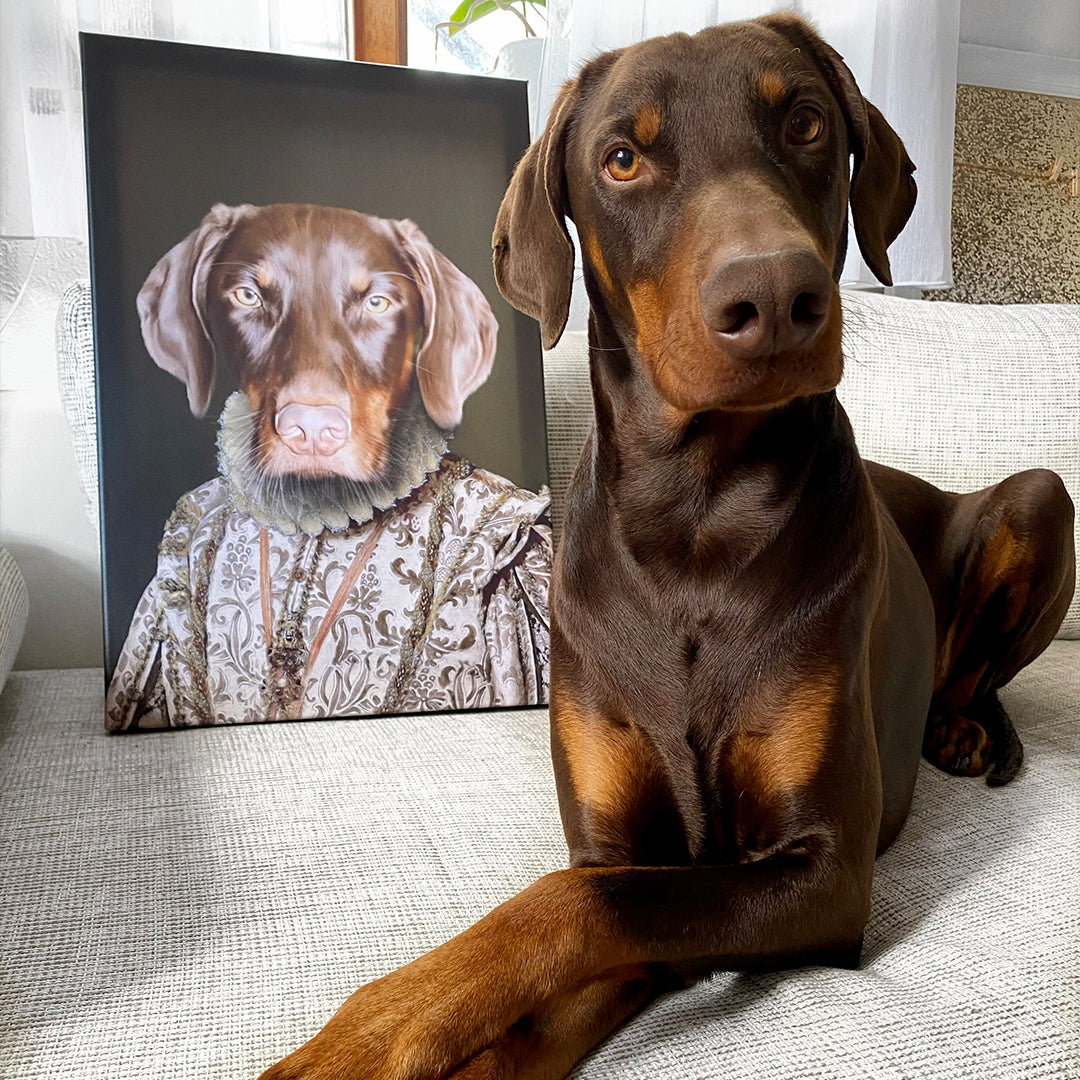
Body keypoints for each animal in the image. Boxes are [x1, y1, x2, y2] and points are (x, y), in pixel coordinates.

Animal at [259, 10, 1071, 1080]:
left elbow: (567, 907)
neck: (696, 521)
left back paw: (958, 725)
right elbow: (571, 936)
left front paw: (376, 1027)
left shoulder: (818, 874)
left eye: (806, 122)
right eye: (622, 159)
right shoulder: (624, 844)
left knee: (978, 663)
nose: (776, 295)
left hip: (1039, 498)